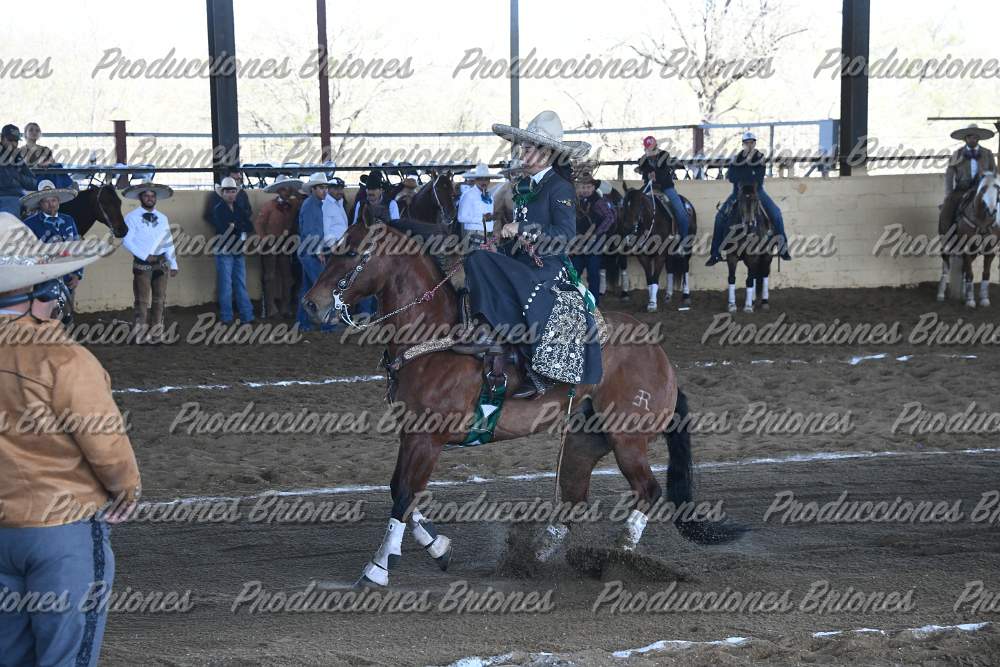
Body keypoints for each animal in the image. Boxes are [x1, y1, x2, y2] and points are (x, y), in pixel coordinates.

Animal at [301, 222, 742, 587]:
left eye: (352, 253)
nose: (311, 304)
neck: (436, 339)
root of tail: (663, 360)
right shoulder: (410, 433)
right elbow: (401, 491)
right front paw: (438, 548)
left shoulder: (427, 438)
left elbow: (405, 495)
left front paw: (378, 567)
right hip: (584, 441)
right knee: (574, 501)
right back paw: (536, 557)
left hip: (628, 439)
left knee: (648, 491)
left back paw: (620, 557)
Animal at [621, 183, 697, 312]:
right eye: (624, 204)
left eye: (638, 204)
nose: (627, 227)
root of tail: (688, 205)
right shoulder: (643, 256)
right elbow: (649, 279)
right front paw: (651, 300)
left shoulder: (660, 255)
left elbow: (655, 277)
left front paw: (652, 303)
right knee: (670, 268)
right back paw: (668, 295)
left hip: (687, 247)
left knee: (685, 267)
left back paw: (686, 296)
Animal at [723, 184, 775, 313]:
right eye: (740, 200)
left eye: (756, 200)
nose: (749, 222)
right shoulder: (731, 256)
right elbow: (732, 278)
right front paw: (732, 305)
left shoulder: (753, 257)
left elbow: (749, 280)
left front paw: (747, 307)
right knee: (756, 274)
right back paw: (753, 300)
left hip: (767, 256)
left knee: (764, 274)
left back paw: (764, 302)